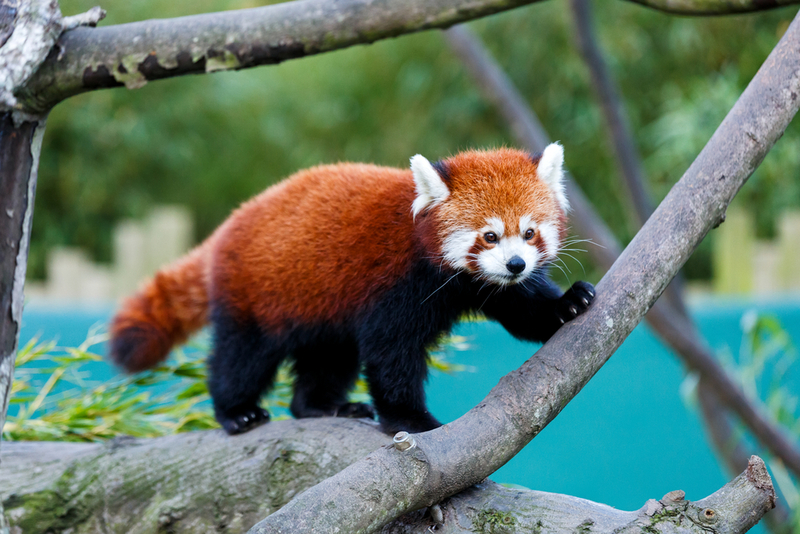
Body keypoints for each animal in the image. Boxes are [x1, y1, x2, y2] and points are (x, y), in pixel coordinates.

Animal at [109, 144, 592, 438]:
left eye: (528, 233)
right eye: (489, 236)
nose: (516, 264)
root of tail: (229, 225)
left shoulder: (485, 285)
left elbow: (523, 306)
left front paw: (568, 303)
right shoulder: (395, 285)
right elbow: (390, 355)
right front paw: (413, 420)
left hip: (323, 313)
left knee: (328, 361)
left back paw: (321, 407)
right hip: (255, 295)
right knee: (241, 358)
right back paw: (237, 411)